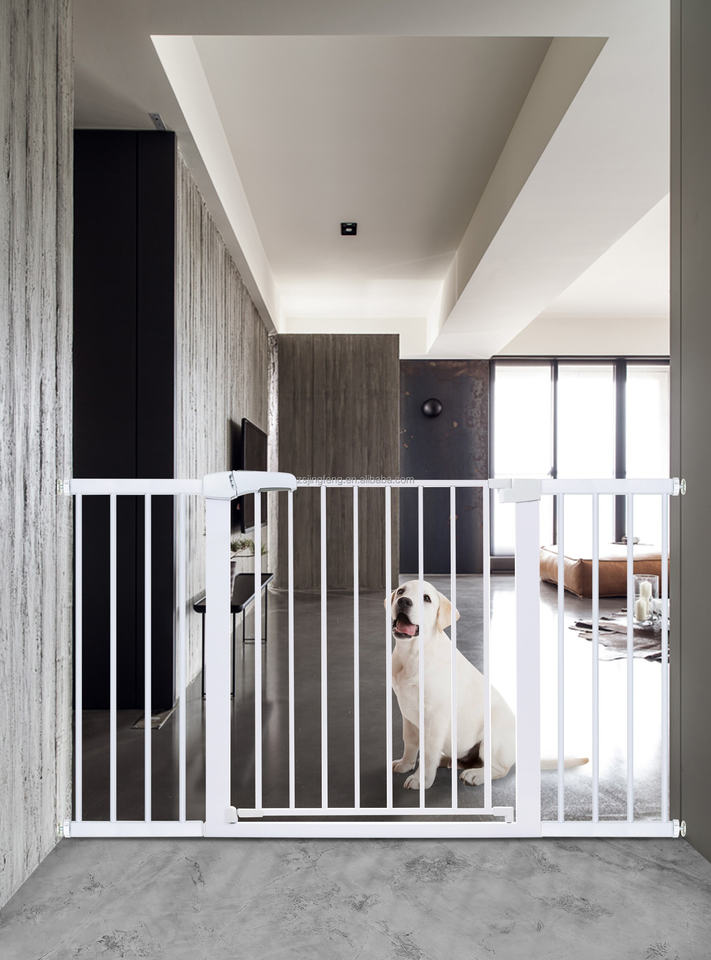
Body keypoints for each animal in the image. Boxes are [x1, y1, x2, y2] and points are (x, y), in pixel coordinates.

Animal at [388, 579, 587, 791]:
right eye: (400, 591)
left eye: (426, 598)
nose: (404, 601)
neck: (412, 654)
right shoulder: (408, 714)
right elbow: (410, 742)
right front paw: (405, 764)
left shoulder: (435, 718)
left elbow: (428, 752)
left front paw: (420, 780)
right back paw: (448, 761)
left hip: (492, 738)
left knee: (498, 769)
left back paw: (474, 775)